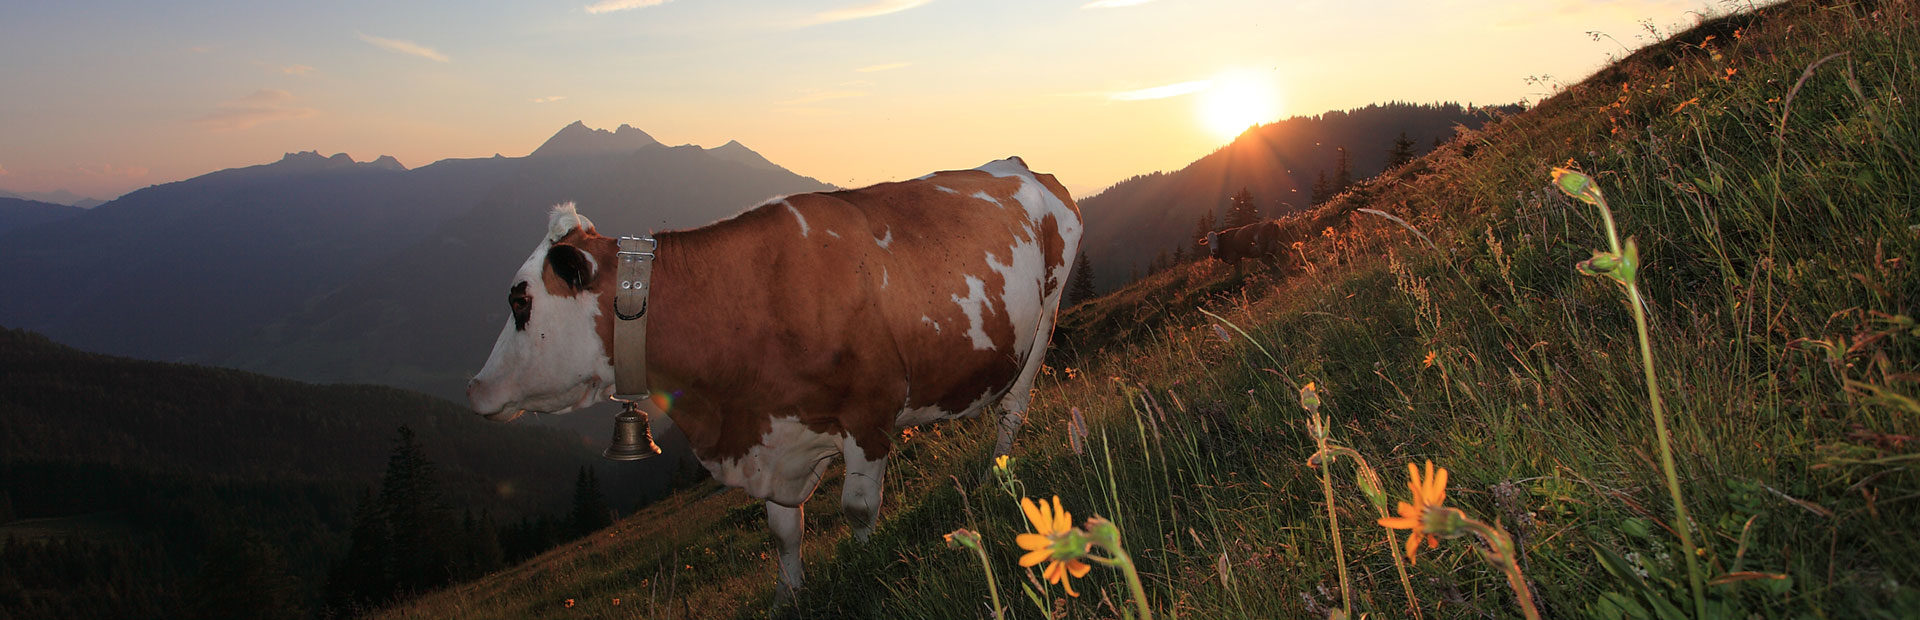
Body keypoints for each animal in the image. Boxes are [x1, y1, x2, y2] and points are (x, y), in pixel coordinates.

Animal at [464, 158, 1082, 598]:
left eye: (520, 301)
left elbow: (858, 509)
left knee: (1014, 408)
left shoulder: (869, 411)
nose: (474, 389)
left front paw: (867, 562)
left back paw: (998, 472)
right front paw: (790, 595)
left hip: (1045, 318)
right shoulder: (772, 437)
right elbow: (784, 533)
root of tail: (1024, 166)